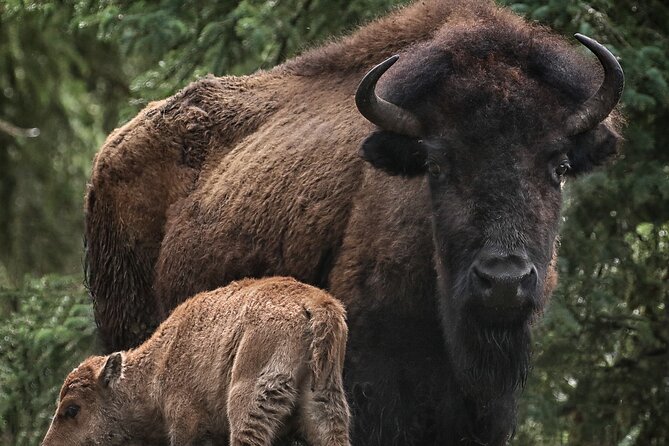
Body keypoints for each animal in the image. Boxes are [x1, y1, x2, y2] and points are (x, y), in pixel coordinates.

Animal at [43, 278, 350, 444]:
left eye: (72, 409)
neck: (159, 365)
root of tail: (316, 304)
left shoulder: (187, 426)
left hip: (248, 400)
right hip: (325, 402)